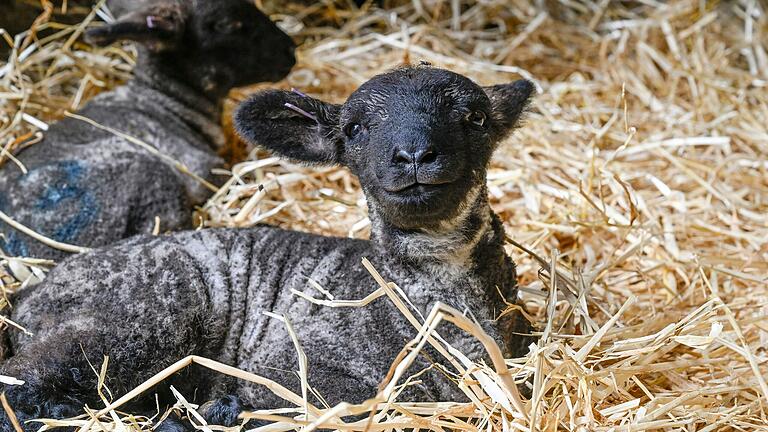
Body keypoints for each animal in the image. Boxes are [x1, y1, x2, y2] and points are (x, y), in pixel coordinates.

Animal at [0, 66, 536, 430]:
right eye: (355, 130)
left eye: (476, 118)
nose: (415, 156)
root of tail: (29, 293)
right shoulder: (288, 368)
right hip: (136, 320)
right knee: (21, 382)